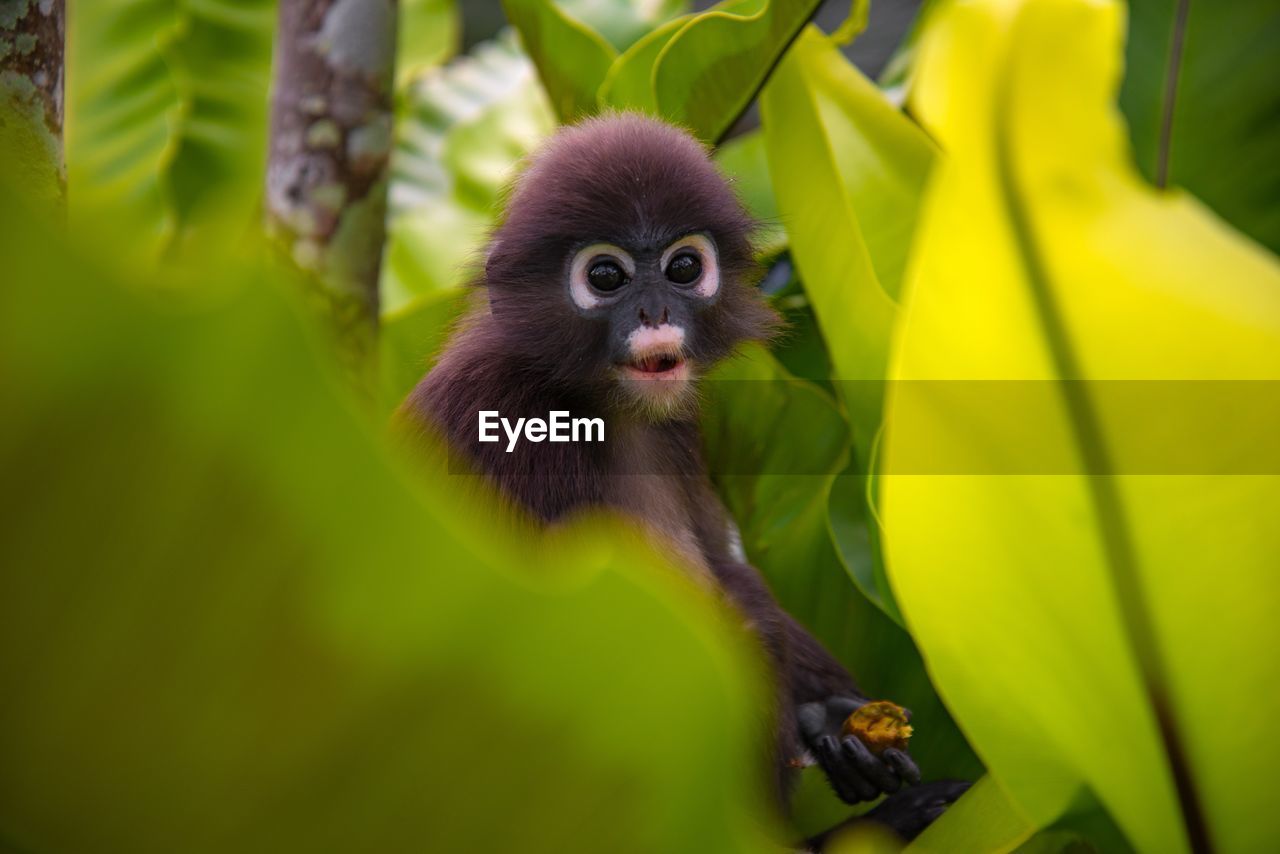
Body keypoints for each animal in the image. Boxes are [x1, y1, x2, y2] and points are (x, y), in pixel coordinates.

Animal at [394, 113, 962, 850]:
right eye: (606, 275)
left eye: (684, 267)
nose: (656, 312)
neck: (597, 405)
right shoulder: (497, 422)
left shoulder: (681, 428)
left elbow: (724, 561)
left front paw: (838, 717)